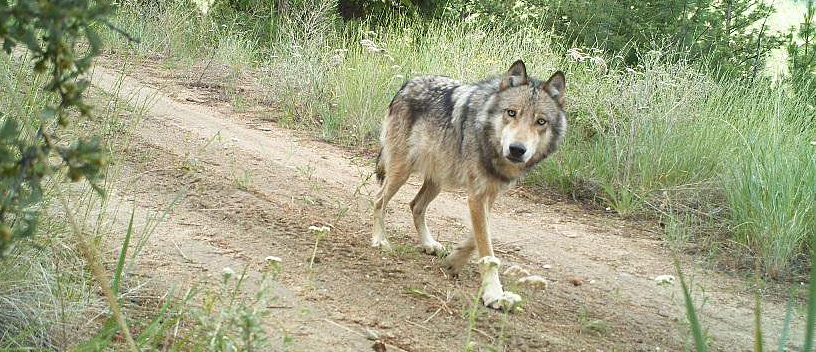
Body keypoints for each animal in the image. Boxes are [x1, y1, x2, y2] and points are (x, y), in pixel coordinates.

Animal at [372, 61, 568, 310]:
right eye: (511, 113)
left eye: (541, 121)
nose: (517, 149)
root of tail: (407, 83)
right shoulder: (476, 196)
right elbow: (486, 248)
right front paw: (494, 293)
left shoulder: (489, 195)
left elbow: (478, 237)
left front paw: (455, 261)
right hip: (401, 172)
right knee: (379, 200)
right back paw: (379, 240)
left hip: (438, 179)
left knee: (415, 205)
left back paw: (429, 244)